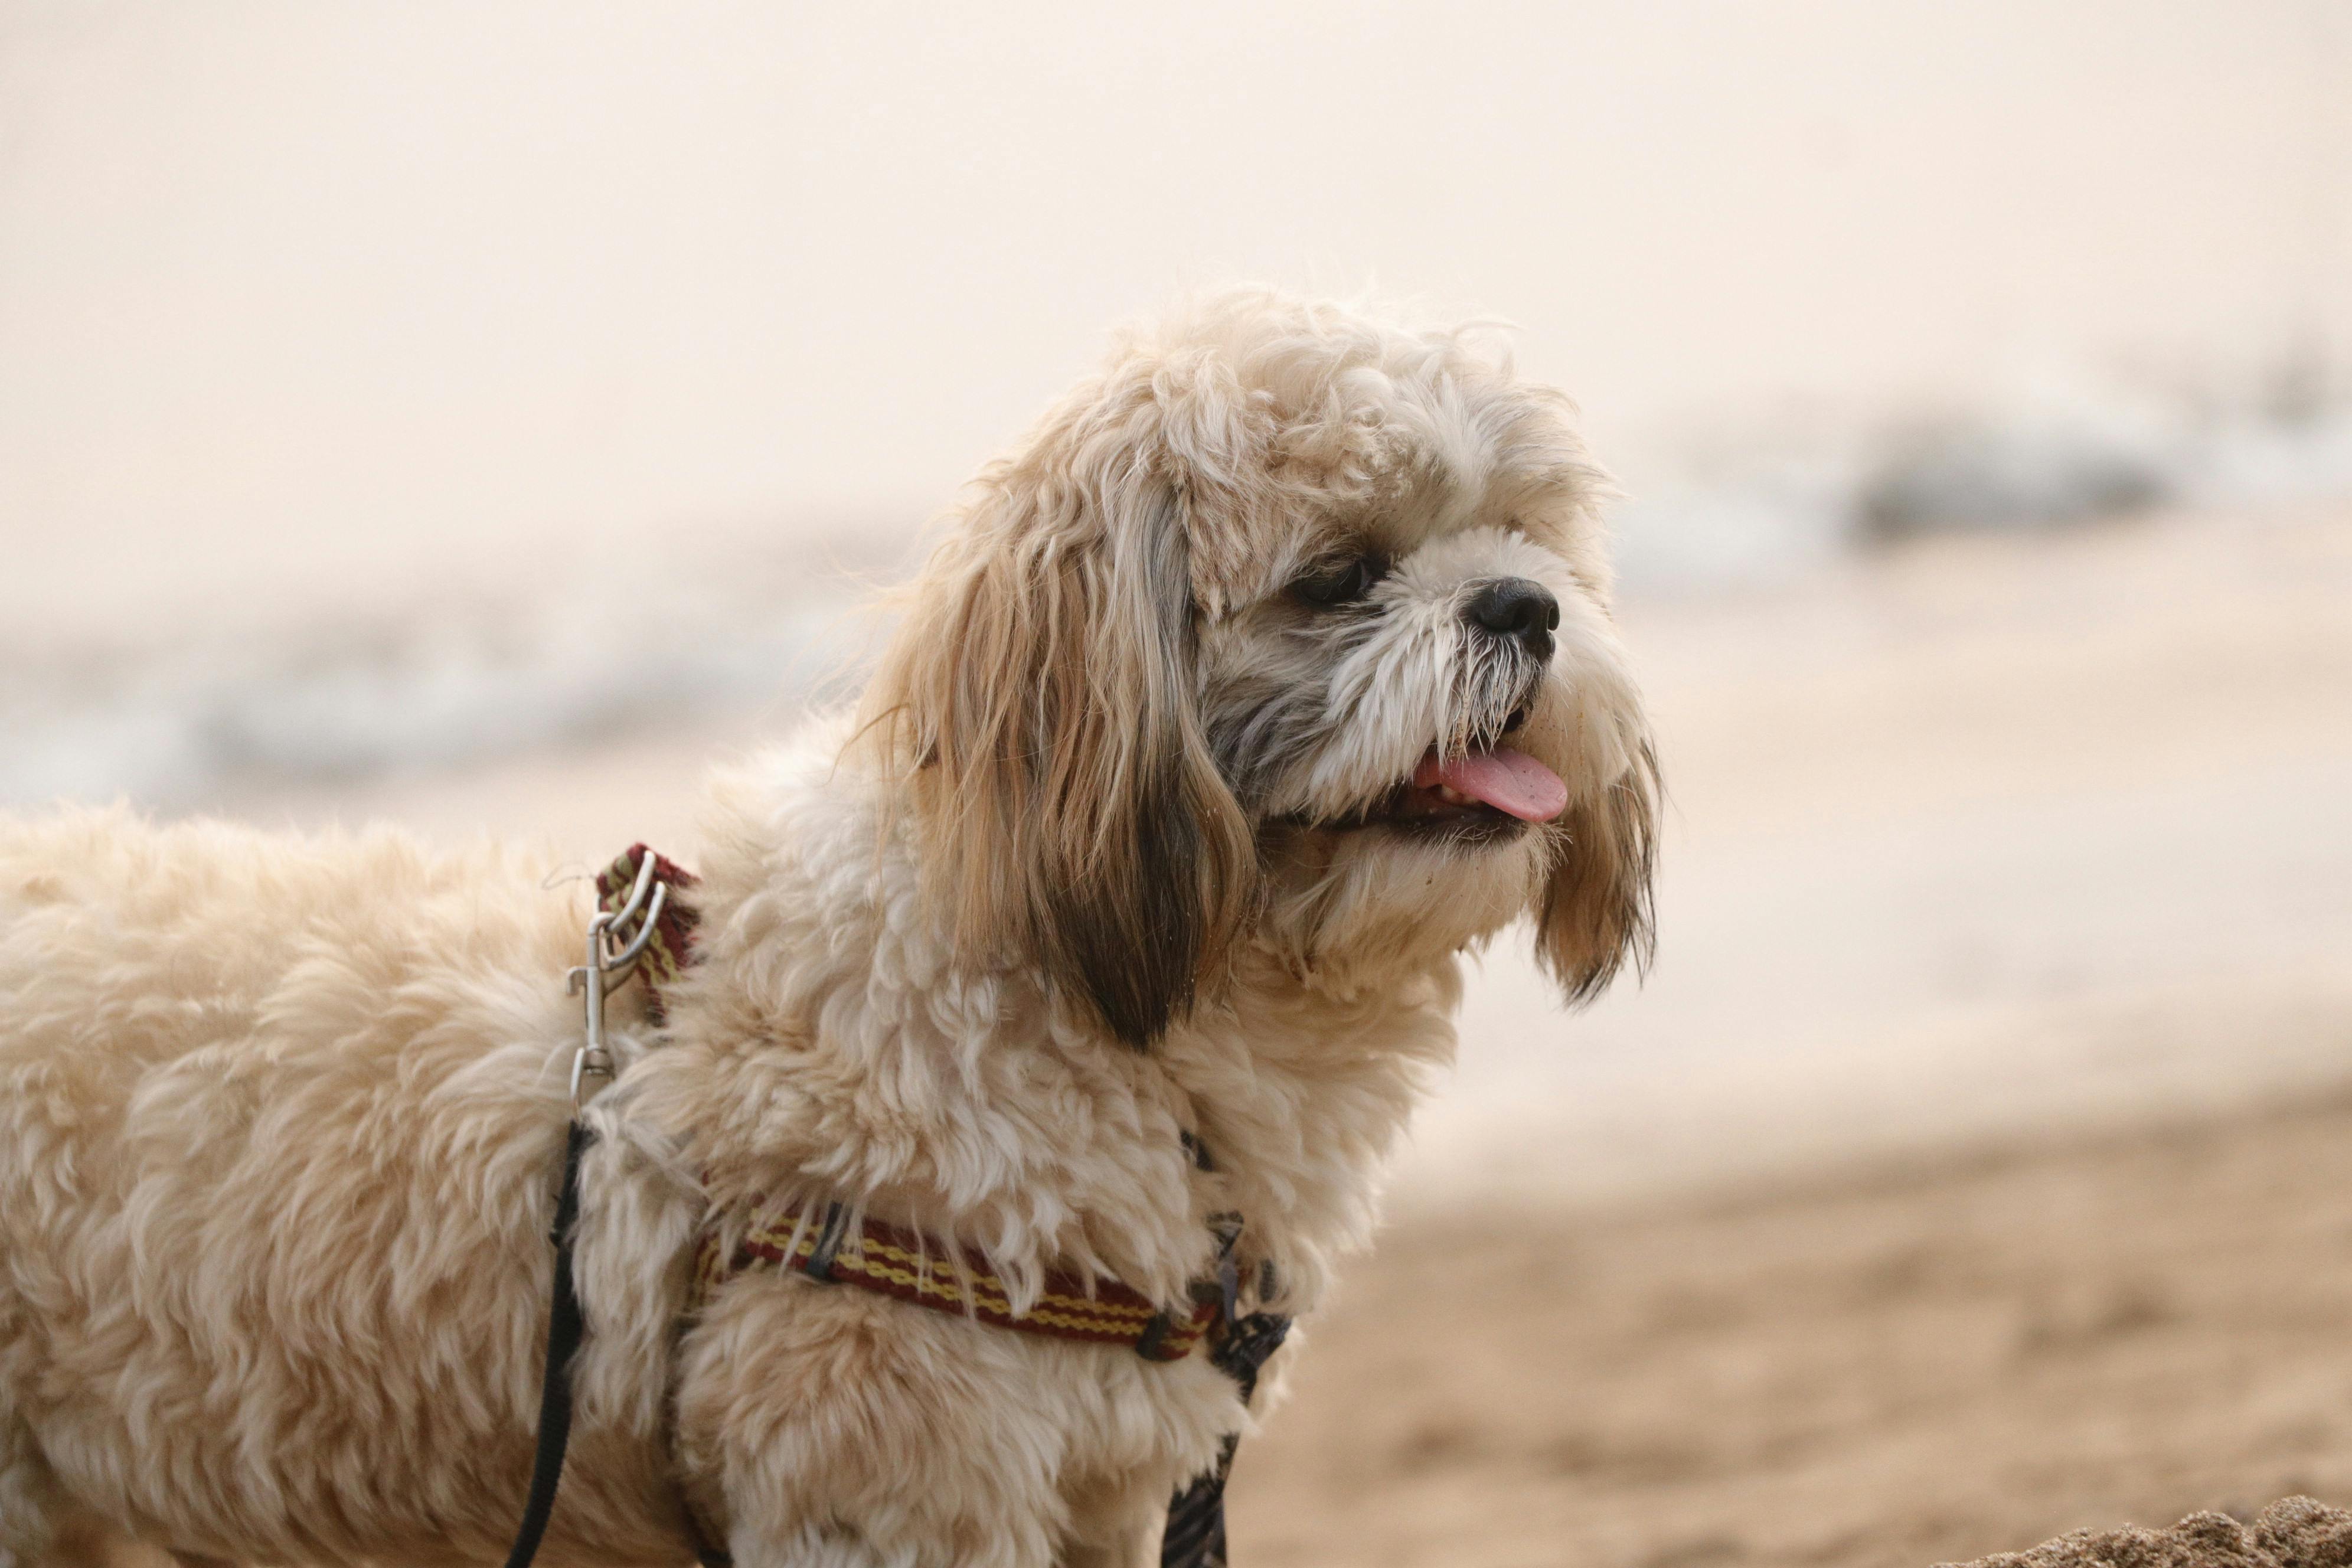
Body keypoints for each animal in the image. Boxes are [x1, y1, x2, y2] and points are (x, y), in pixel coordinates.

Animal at [0, 293, 1655, 1568]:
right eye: (1339, 577)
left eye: (1522, 537)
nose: (1524, 607)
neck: (1091, 1008)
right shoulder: (888, 1477)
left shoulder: (1092, 1492)